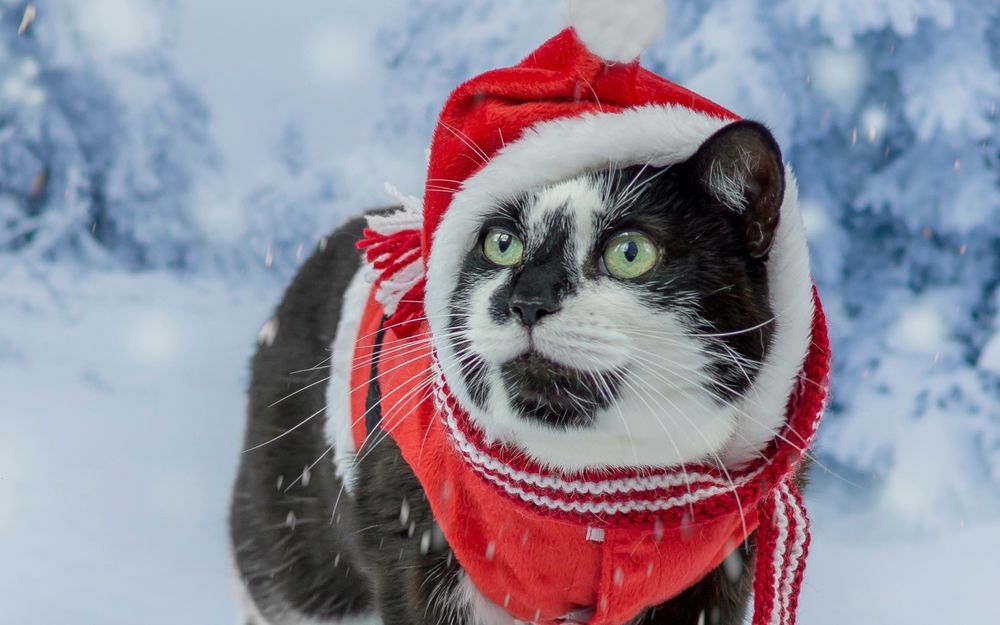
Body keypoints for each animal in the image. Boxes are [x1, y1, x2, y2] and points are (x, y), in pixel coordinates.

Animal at [230, 120, 816, 624]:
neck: (594, 499)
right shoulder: (415, 535)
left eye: (631, 252)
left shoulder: (716, 569)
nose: (529, 299)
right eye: (501, 243)